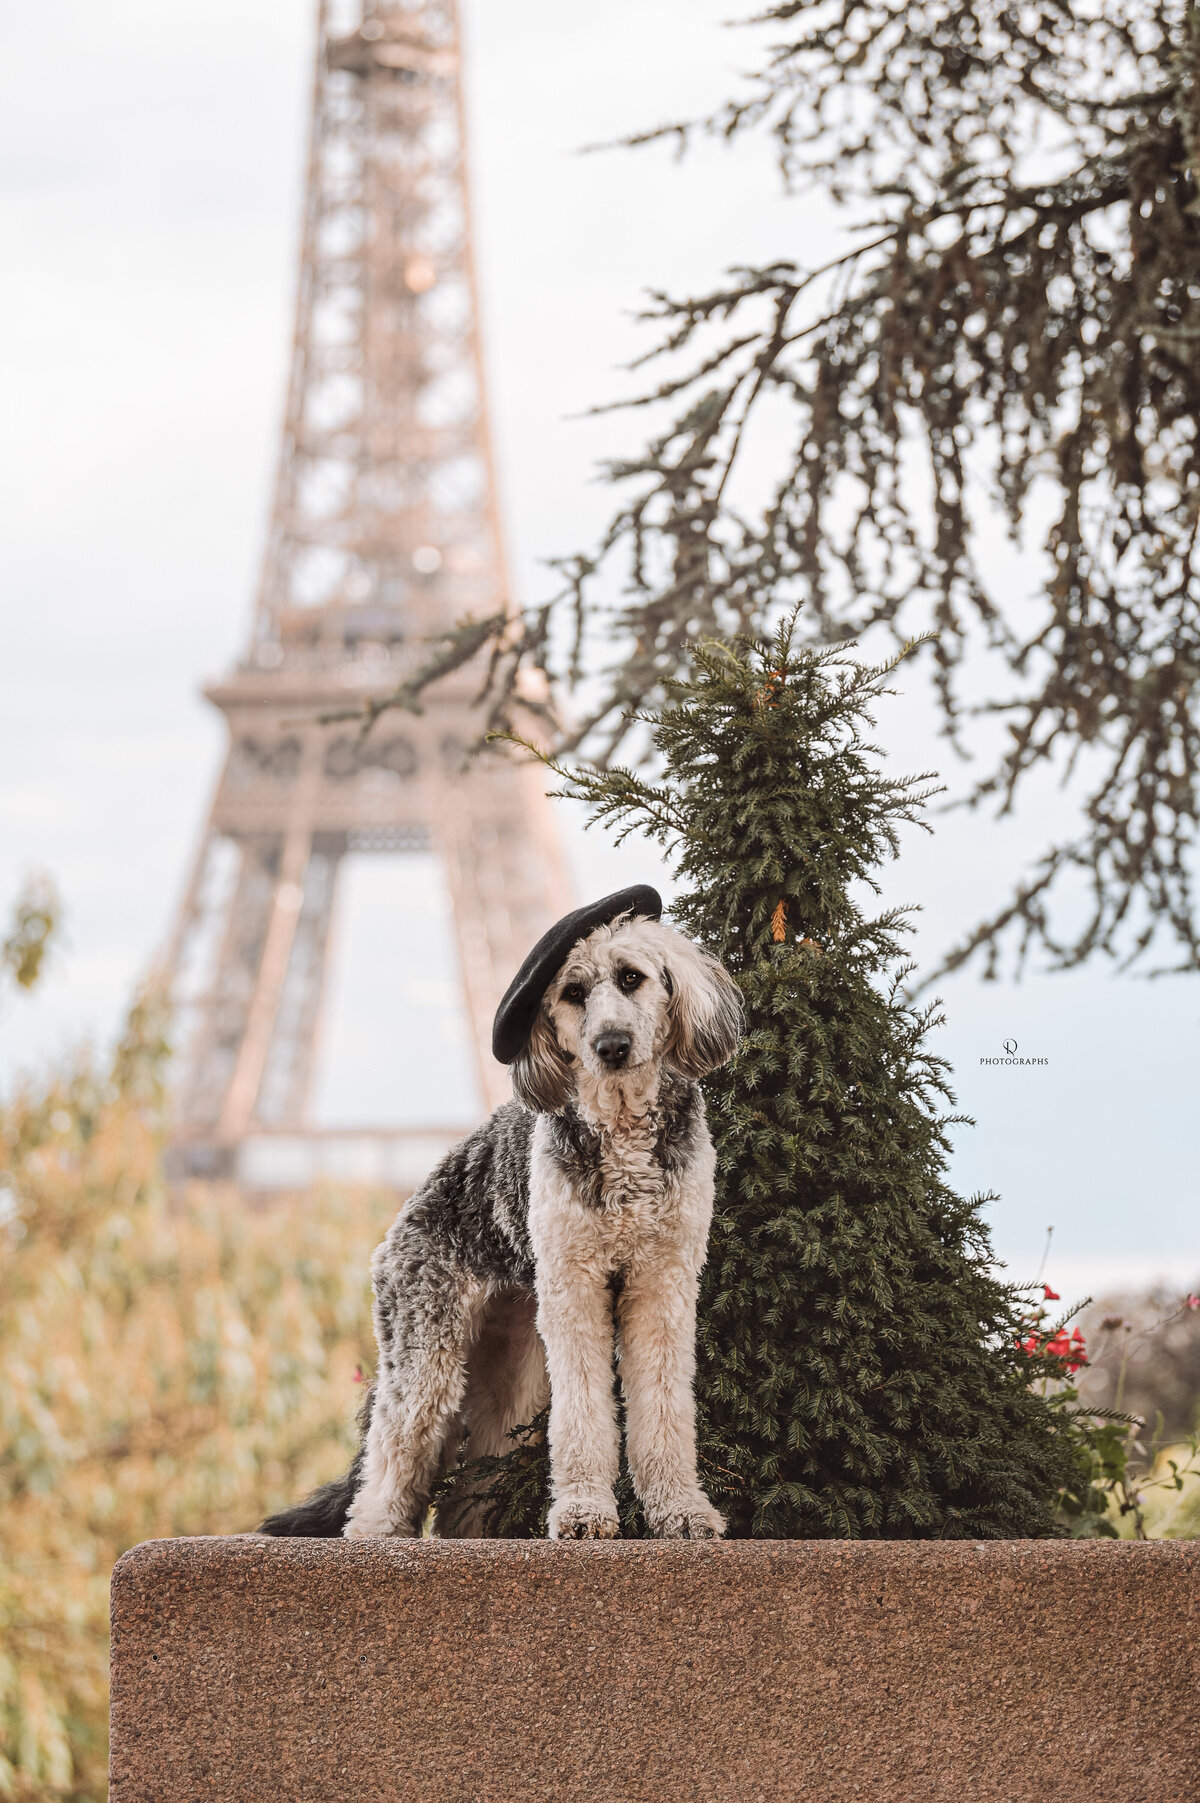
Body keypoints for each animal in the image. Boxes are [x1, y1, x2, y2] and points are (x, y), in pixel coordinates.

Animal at [261, 883, 738, 1536]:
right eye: (572, 992)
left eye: (632, 977)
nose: (611, 1046)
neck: (620, 1130)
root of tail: (398, 1227)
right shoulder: (575, 1289)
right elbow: (583, 1415)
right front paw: (584, 1513)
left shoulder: (662, 1285)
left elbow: (665, 1409)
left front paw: (680, 1511)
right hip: (429, 1361)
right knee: (389, 1466)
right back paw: (376, 1535)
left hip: (513, 1373)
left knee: (466, 1492)